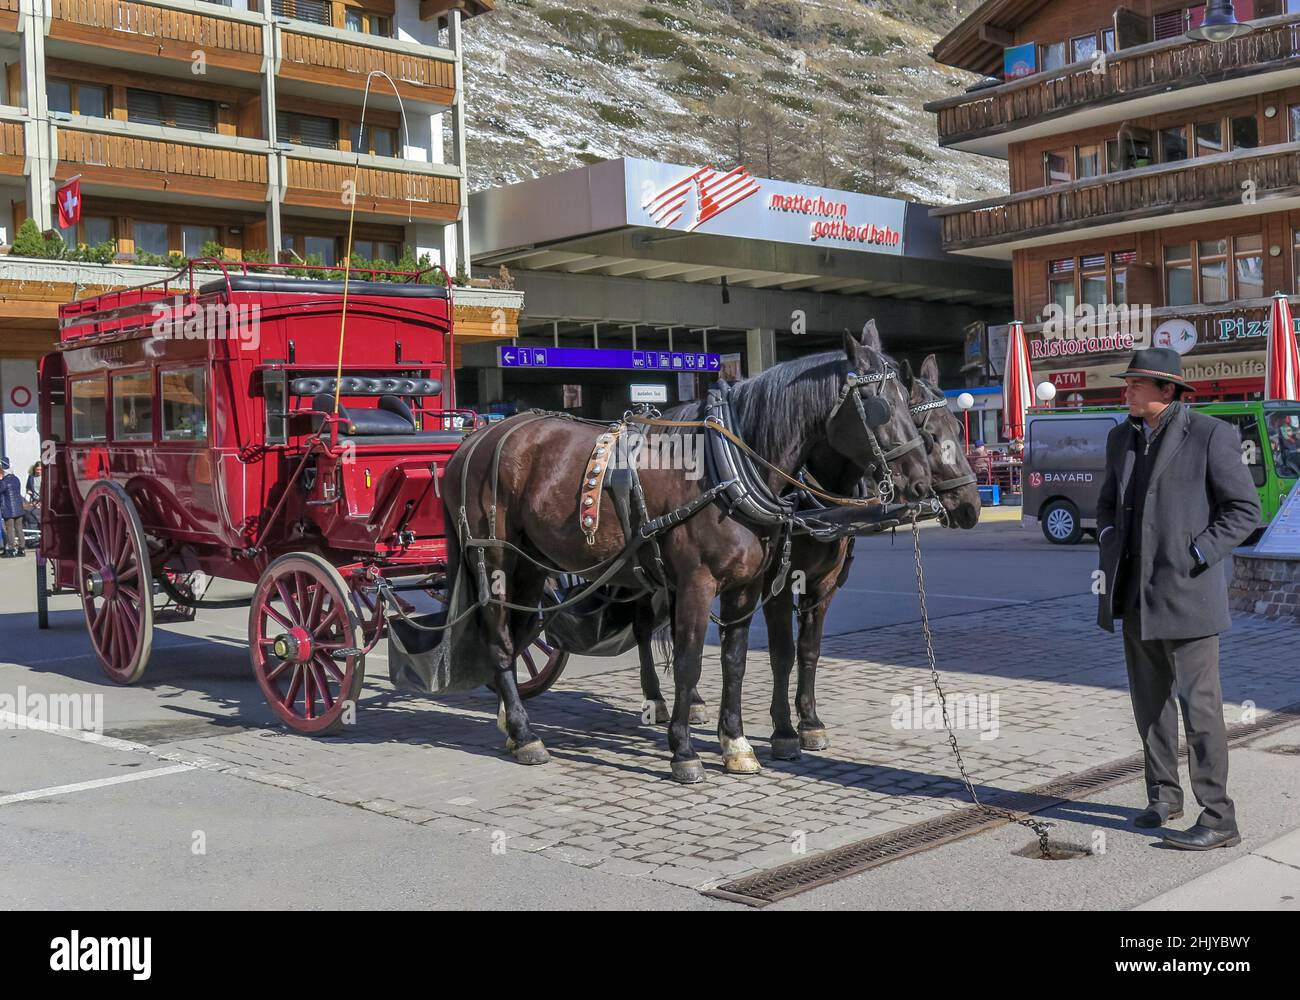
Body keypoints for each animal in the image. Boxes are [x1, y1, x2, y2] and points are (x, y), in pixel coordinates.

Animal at [447, 327, 935, 780]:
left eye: (908, 399)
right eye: (876, 402)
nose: (921, 483)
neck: (726, 467)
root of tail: (474, 440)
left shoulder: (746, 585)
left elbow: (735, 660)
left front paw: (736, 743)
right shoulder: (697, 583)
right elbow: (689, 661)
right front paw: (684, 751)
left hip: (531, 563)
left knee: (522, 631)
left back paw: (510, 723)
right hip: (494, 560)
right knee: (500, 638)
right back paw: (526, 733)